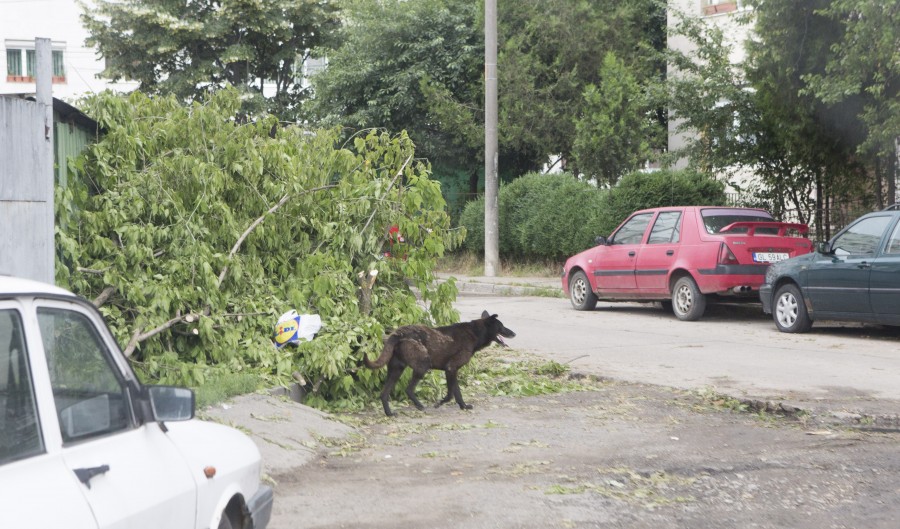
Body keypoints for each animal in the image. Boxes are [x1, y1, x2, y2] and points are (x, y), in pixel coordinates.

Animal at [364, 310, 516, 416]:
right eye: (502, 326)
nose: (514, 333)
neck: (475, 332)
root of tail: (399, 333)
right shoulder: (451, 369)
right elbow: (450, 395)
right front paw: (440, 403)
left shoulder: (453, 371)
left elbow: (457, 393)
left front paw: (464, 406)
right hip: (422, 366)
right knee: (409, 389)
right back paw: (419, 405)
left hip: (396, 371)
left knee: (384, 394)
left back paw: (389, 414)